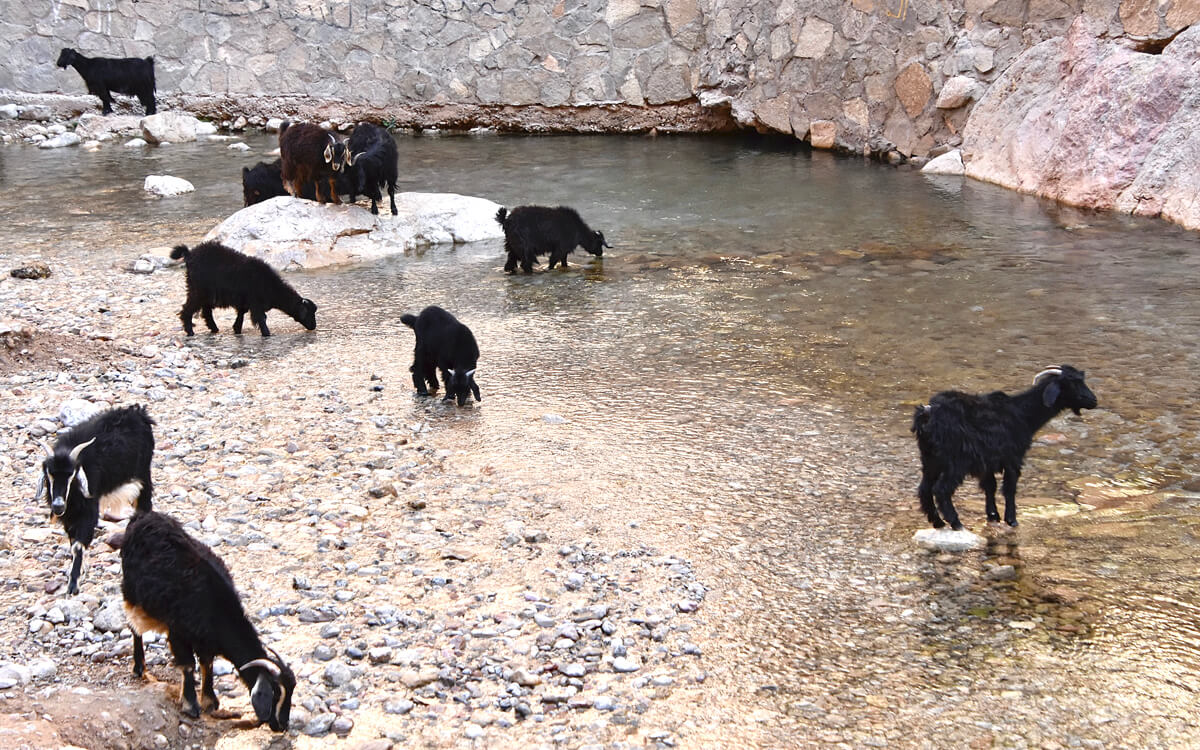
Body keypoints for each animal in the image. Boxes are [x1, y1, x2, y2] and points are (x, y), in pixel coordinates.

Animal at [34, 404, 155, 595]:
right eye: (49, 473)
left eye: (72, 474)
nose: (58, 505)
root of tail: (137, 412)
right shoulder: (70, 517)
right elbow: (73, 543)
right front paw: (81, 571)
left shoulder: (88, 510)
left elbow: (78, 545)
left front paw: (73, 585)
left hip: (143, 475)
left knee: (144, 507)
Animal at [117, 510, 295, 730]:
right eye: (276, 693)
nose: (282, 725)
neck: (216, 607)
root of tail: (143, 516)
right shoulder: (178, 631)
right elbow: (187, 664)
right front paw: (191, 706)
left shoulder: (206, 640)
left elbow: (207, 663)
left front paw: (210, 701)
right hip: (131, 591)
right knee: (134, 626)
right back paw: (139, 667)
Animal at [170, 241, 317, 337]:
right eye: (309, 313)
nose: (314, 327)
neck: (271, 287)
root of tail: (189, 254)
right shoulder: (256, 303)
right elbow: (261, 318)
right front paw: (267, 333)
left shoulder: (245, 302)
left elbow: (241, 315)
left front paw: (237, 329)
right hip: (199, 290)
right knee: (188, 309)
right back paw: (190, 331)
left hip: (205, 293)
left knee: (206, 311)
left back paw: (214, 329)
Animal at [912, 365, 1098, 530]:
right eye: (1072, 383)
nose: (1094, 401)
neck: (1023, 413)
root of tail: (927, 413)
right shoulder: (1013, 457)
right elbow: (1009, 488)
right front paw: (1011, 520)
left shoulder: (987, 461)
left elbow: (990, 486)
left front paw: (993, 515)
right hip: (956, 461)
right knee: (941, 489)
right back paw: (956, 523)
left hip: (930, 458)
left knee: (924, 489)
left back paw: (937, 522)